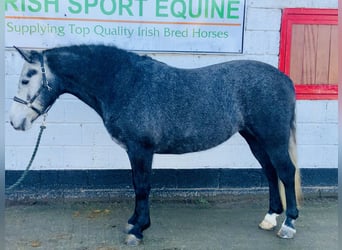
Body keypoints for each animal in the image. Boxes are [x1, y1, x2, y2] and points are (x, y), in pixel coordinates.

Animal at [9, 44, 300, 245]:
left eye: (26, 78)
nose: (15, 121)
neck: (125, 84)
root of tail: (285, 80)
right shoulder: (134, 150)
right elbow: (136, 184)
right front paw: (133, 223)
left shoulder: (141, 149)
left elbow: (142, 186)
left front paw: (138, 230)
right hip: (254, 138)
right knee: (270, 172)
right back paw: (270, 218)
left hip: (272, 138)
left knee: (286, 172)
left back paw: (288, 224)